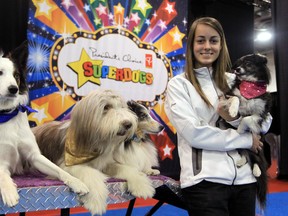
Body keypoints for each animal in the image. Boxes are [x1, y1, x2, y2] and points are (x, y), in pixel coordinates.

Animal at [0, 41, 89, 208]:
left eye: (16, 75)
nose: (14, 89)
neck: (7, 113)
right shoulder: (2, 161)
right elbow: (2, 175)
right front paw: (9, 192)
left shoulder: (34, 156)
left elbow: (58, 169)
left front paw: (76, 181)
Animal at [225, 53, 272, 208]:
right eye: (238, 63)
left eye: (249, 64)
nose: (237, 69)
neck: (250, 87)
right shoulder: (231, 94)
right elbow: (236, 98)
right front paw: (233, 111)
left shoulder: (260, 113)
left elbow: (246, 119)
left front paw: (240, 128)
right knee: (245, 152)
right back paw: (241, 162)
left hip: (259, 142)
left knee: (257, 156)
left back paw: (257, 170)